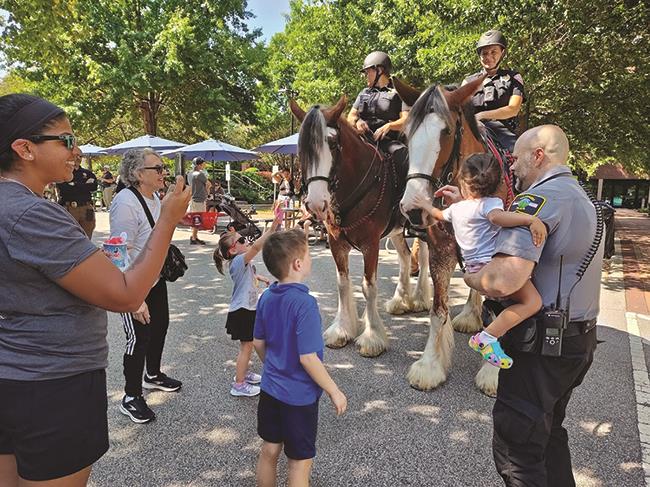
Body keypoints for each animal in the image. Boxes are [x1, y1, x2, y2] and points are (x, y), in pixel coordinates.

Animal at [288, 98, 430, 358]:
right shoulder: (336, 244)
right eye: (302, 147)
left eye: (333, 144)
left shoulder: (370, 244)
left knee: (423, 259)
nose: (315, 203)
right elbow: (343, 284)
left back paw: (419, 299)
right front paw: (341, 330)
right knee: (405, 258)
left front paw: (372, 337)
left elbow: (368, 287)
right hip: (396, 232)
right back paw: (399, 301)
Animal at [392, 76, 504, 394]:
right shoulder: (441, 250)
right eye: (406, 135)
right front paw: (430, 363)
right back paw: (470, 315)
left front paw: (492, 372)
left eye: (447, 131)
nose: (414, 207)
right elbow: (438, 311)